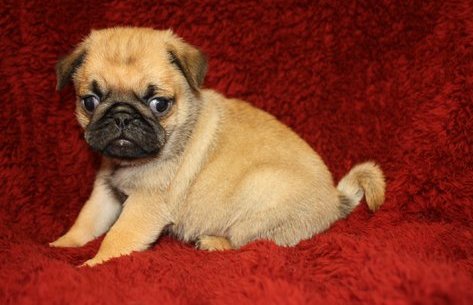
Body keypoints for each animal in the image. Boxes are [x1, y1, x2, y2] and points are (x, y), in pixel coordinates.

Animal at [50, 26, 384, 266]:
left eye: (159, 104)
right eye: (90, 102)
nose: (121, 116)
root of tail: (335, 200)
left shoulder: (143, 205)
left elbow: (116, 239)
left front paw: (91, 266)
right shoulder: (106, 193)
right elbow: (86, 221)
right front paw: (61, 245)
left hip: (259, 196)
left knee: (254, 242)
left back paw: (213, 242)